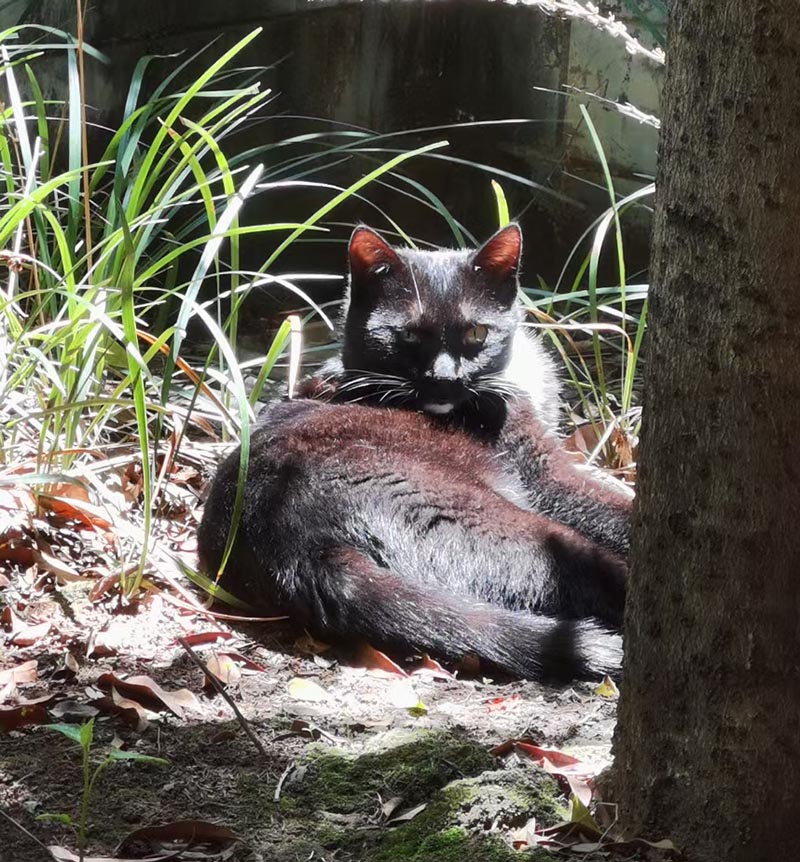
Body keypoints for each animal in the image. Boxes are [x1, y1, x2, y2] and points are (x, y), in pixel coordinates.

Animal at [198, 226, 632, 684]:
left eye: (476, 334)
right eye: (406, 335)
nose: (444, 379)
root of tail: (291, 546)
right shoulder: (542, 470)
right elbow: (607, 503)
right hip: (504, 524)